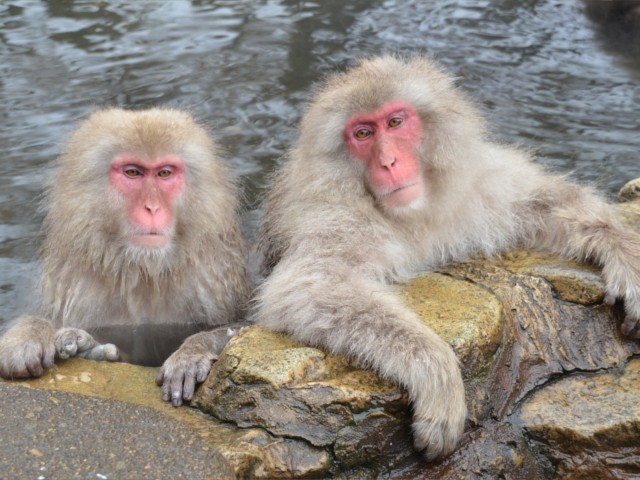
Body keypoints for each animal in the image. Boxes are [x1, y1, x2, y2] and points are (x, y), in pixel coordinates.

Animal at [0, 108, 250, 404]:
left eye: (164, 173)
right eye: (133, 172)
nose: (152, 207)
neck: (143, 270)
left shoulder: (213, 281)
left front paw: (191, 353)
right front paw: (30, 334)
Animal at [252, 56, 640, 462]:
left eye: (395, 122)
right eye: (362, 134)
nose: (389, 162)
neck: (412, 217)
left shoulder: (478, 184)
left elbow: (544, 203)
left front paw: (623, 252)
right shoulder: (334, 217)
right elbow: (307, 287)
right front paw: (435, 371)